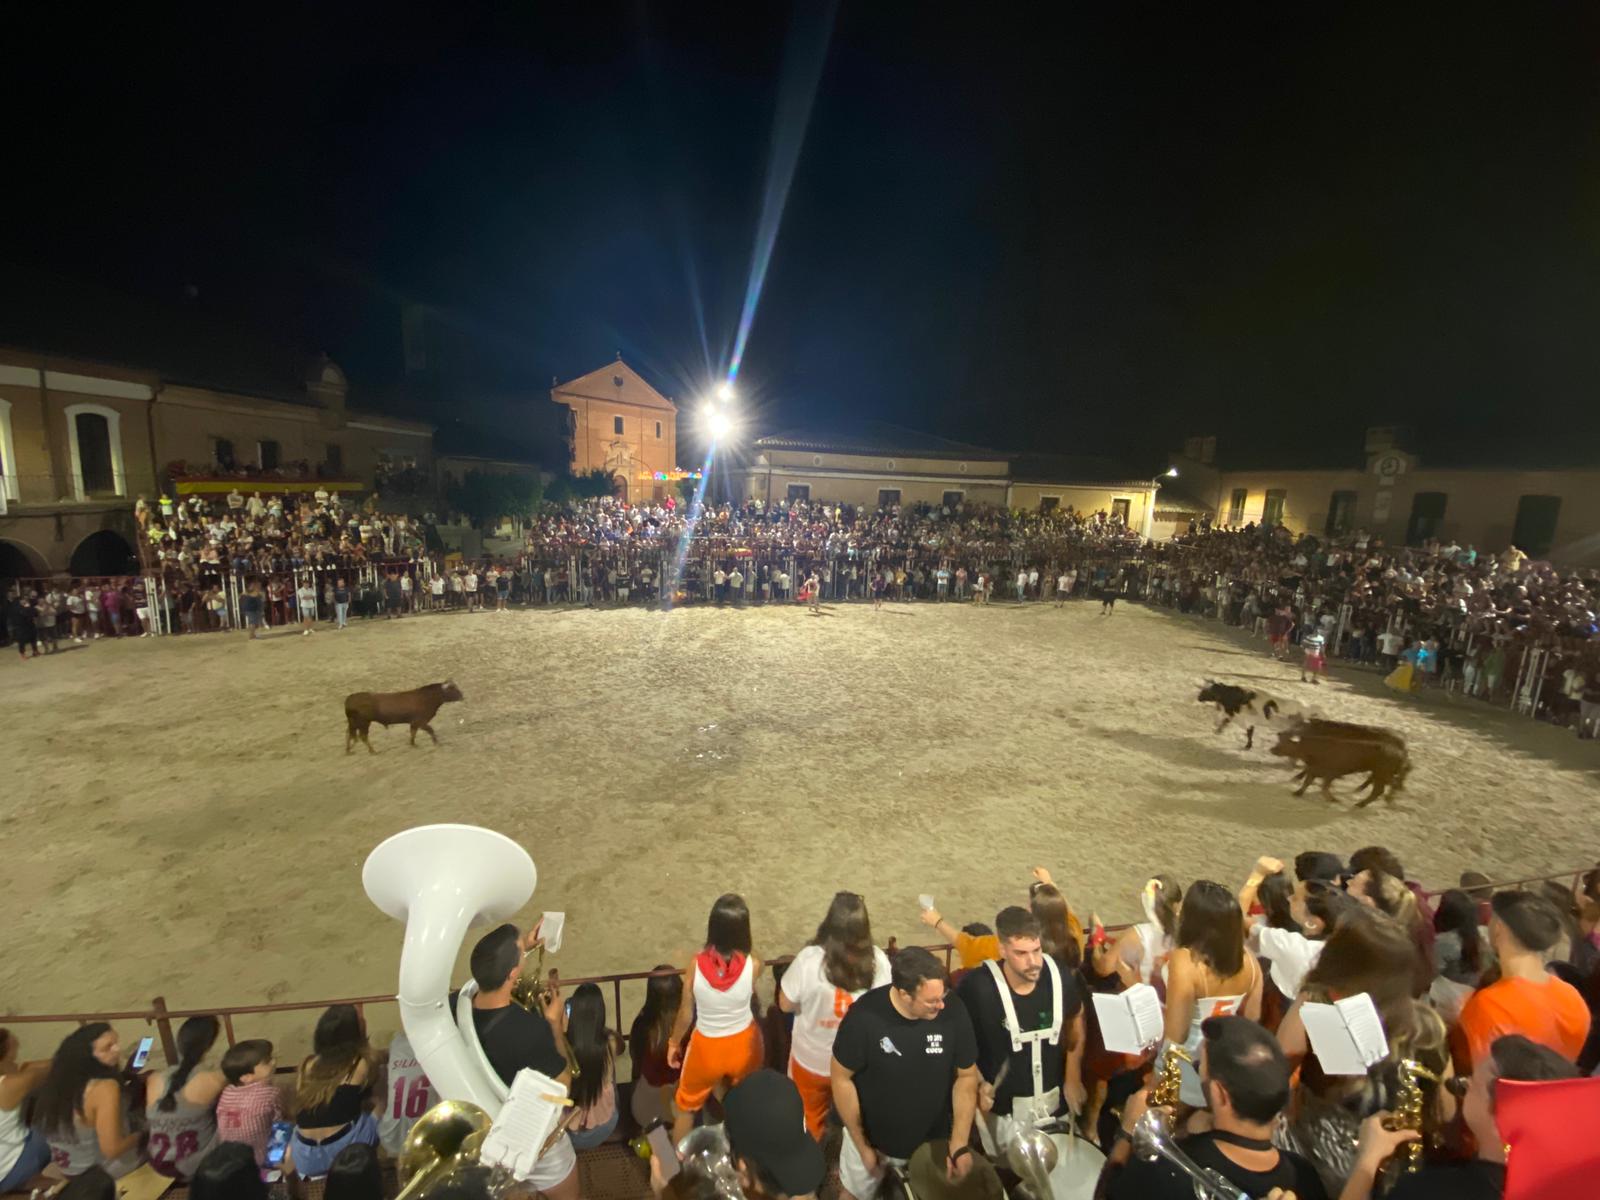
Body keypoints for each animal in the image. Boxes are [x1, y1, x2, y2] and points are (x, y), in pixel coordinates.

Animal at [1267, 713, 1408, 809]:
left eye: (1298, 726)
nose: (1280, 733)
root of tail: (1400, 748)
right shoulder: (1316, 769)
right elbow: (1309, 780)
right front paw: (1298, 790)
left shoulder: (1329, 771)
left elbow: (1320, 783)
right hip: (1381, 774)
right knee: (1383, 783)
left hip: (1382, 774)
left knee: (1381, 788)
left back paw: (1364, 802)